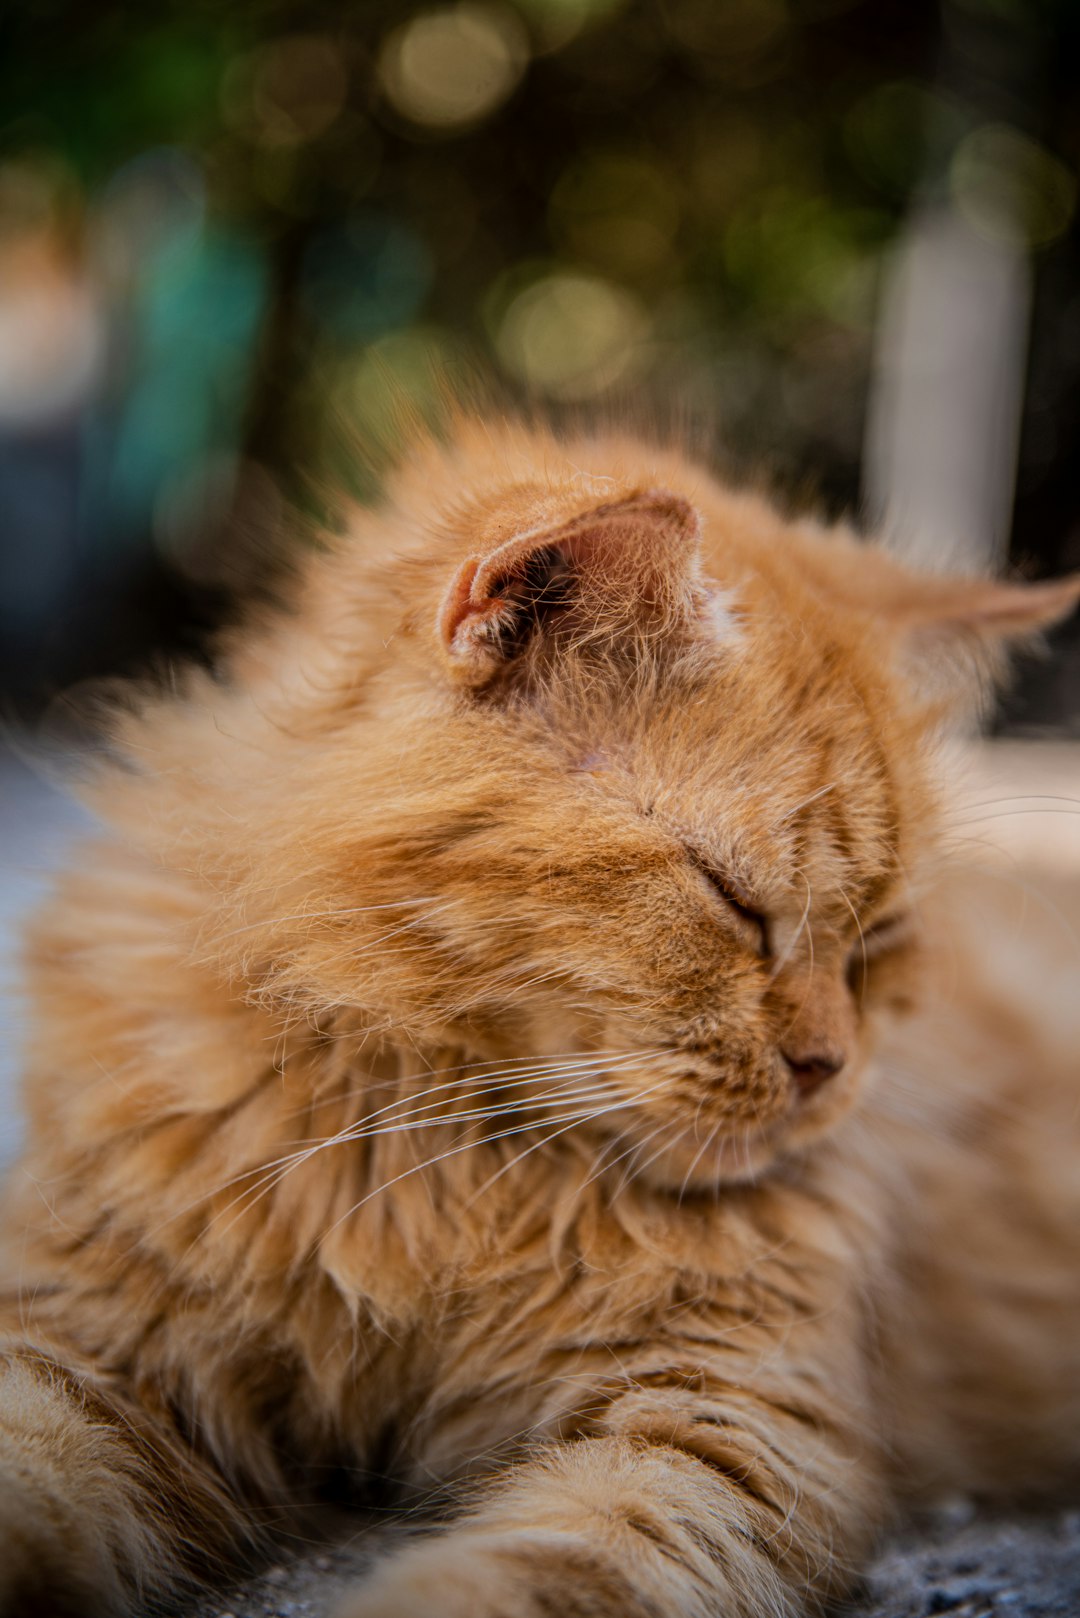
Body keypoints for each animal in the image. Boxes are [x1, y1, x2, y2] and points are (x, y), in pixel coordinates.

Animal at [2, 420, 1080, 1618]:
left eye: (878, 936)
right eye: (733, 901)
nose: (828, 1068)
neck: (435, 1166)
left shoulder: (716, 1426)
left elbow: (534, 1573)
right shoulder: (83, 1332)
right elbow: (30, 1477)